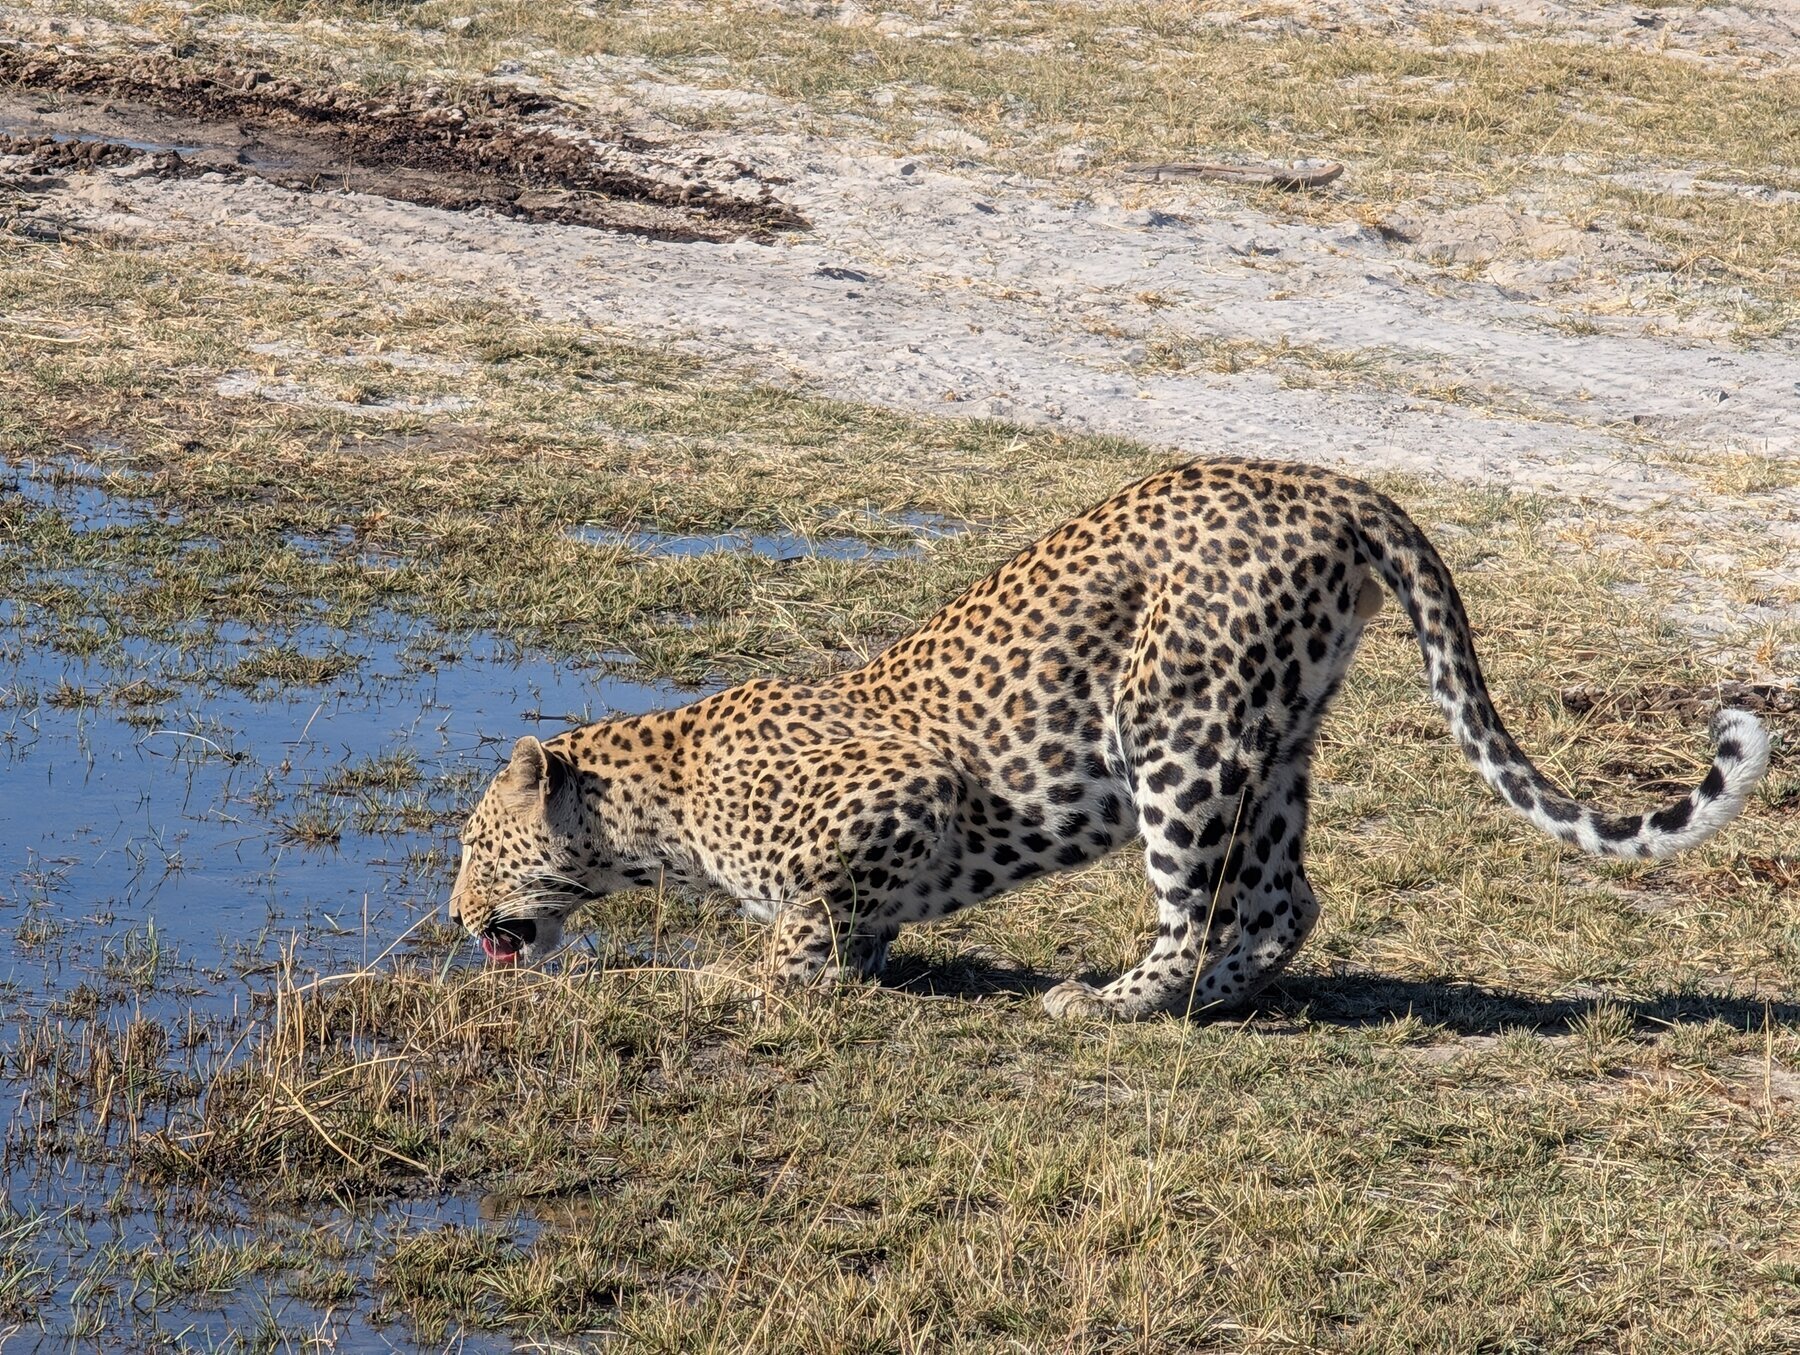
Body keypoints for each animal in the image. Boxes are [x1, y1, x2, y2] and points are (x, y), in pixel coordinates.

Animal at [449, 458, 1770, 1019]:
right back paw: (1200, 1004)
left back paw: (1109, 1001)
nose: (458, 918)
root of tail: (1336, 484)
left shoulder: (903, 798)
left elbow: (805, 930)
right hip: (1274, 741)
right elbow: (846, 928)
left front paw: (739, 972)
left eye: (470, 844)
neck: (657, 806)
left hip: (1176, 731)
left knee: (1197, 905)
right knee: (1284, 900)